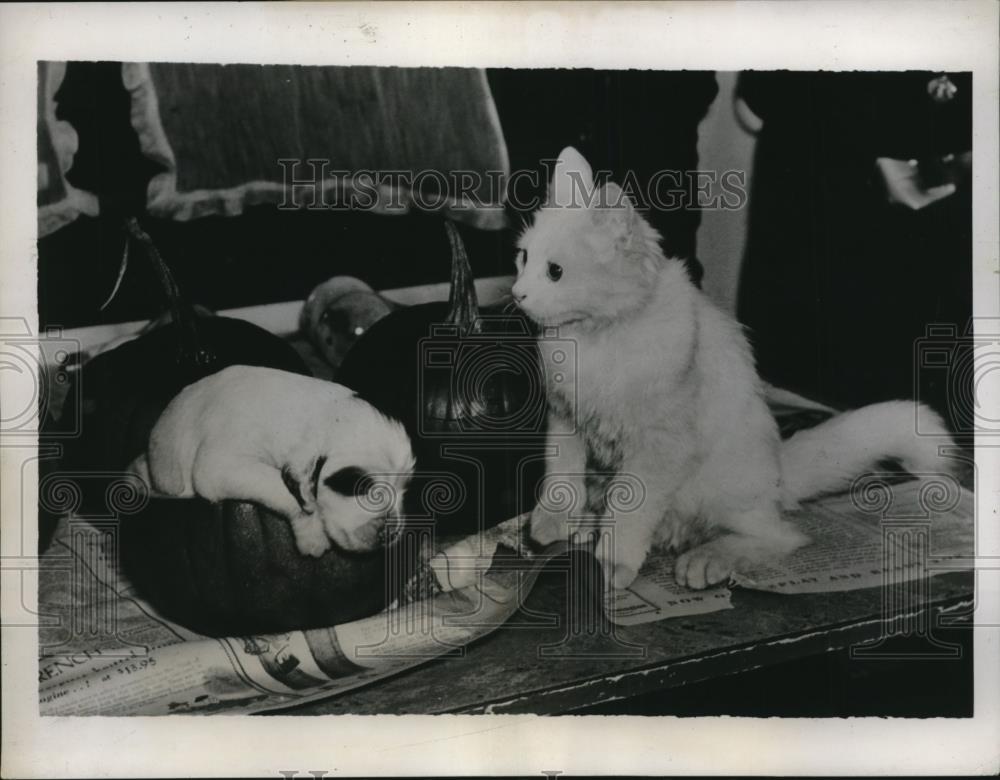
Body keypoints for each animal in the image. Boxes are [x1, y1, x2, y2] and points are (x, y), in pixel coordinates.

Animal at [131, 366, 416, 556]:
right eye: (360, 488)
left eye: (404, 489)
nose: (391, 533)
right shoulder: (220, 465)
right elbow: (280, 488)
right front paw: (312, 533)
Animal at [512, 148, 956, 592]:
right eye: (523, 258)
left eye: (555, 272)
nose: (517, 293)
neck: (591, 337)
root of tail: (779, 473)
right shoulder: (565, 418)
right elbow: (560, 473)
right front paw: (551, 521)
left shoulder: (659, 447)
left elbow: (630, 509)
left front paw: (612, 561)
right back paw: (591, 523)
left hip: (722, 488)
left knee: (781, 536)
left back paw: (706, 560)